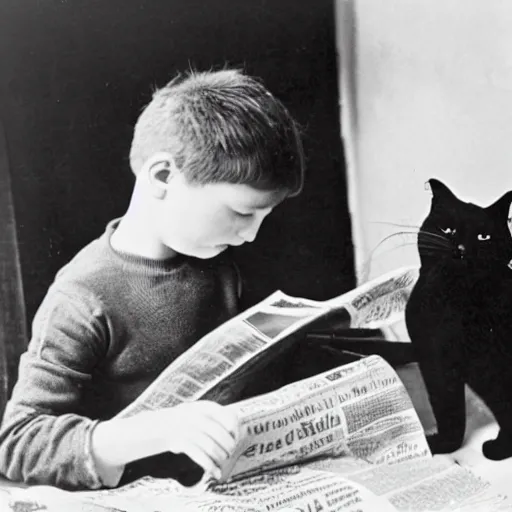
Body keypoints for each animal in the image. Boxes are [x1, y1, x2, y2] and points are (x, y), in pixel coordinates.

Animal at [406, 178, 512, 458]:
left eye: (483, 236)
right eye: (448, 229)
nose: (461, 249)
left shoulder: (492, 368)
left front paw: (501, 448)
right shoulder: (433, 361)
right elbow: (447, 408)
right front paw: (443, 445)